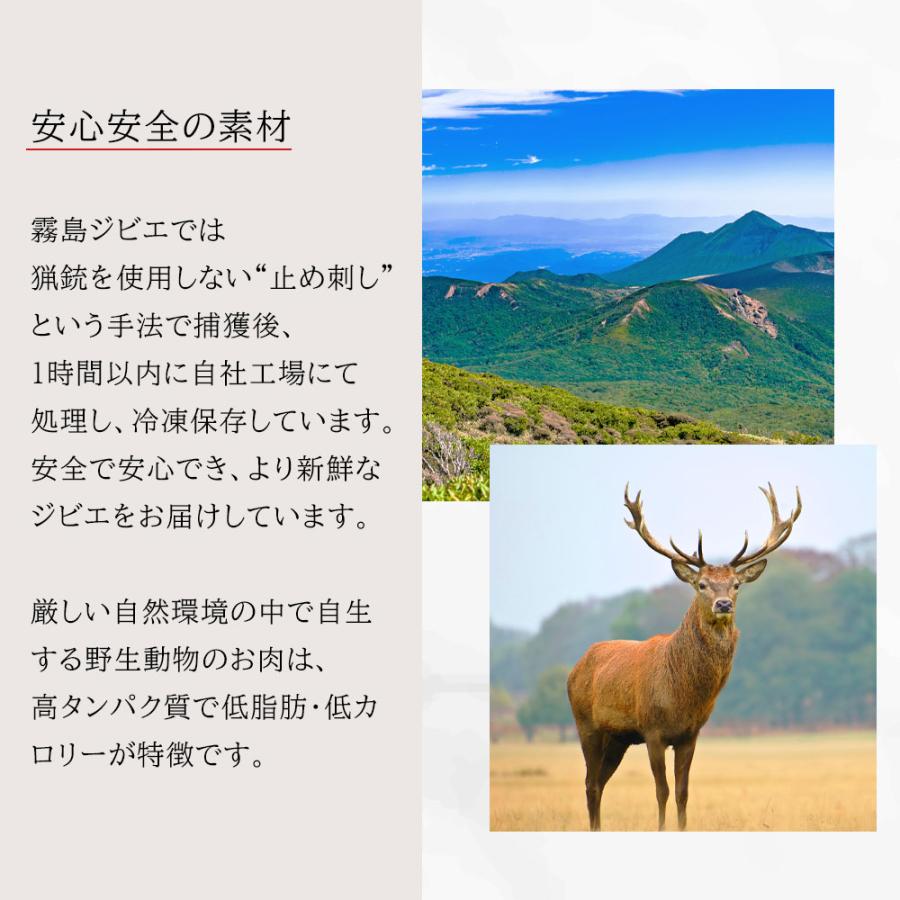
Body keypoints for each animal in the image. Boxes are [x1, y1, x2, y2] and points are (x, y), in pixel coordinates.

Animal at [567, 482, 801, 832]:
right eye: (701, 584)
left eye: (735, 585)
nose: (723, 604)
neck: (682, 695)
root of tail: (576, 666)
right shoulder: (652, 730)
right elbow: (661, 791)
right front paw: (662, 828)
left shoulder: (690, 734)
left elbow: (682, 792)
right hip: (587, 725)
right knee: (590, 783)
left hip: (618, 738)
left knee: (599, 782)